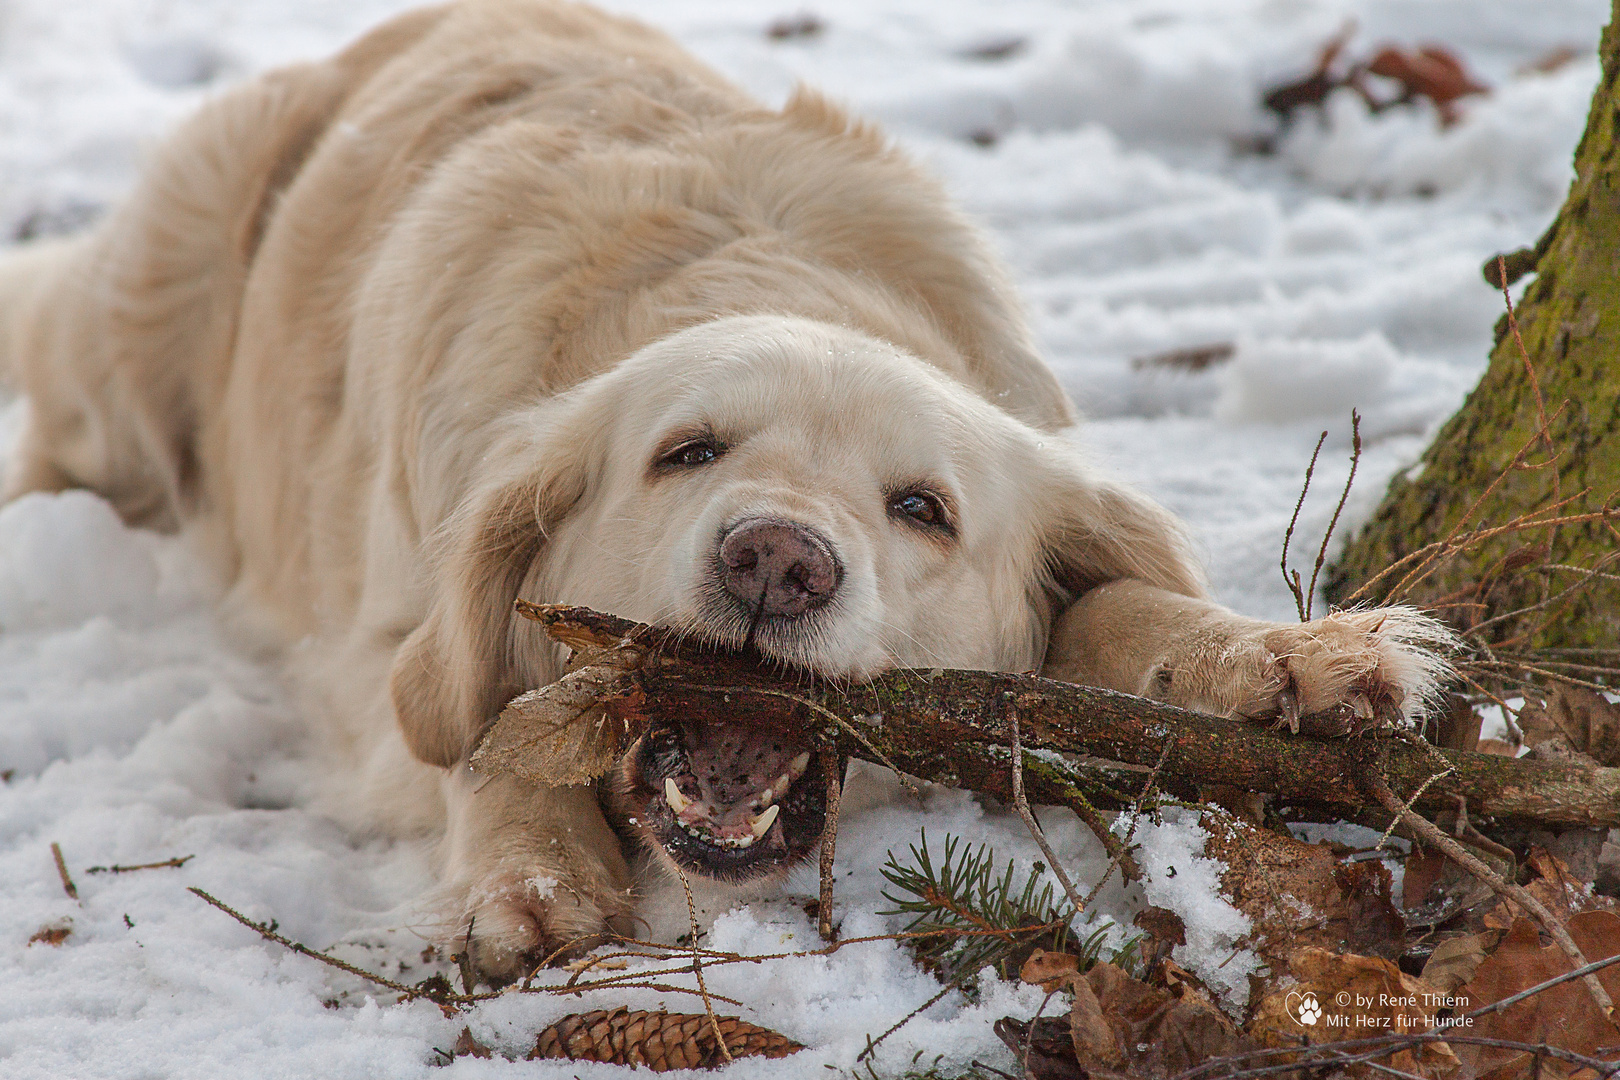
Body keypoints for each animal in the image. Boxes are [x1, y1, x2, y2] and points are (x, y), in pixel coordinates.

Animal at [0, 0, 1451, 977]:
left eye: (922, 509)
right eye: (686, 452)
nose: (777, 561)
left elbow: (1125, 614)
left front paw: (1293, 662)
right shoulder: (377, 643)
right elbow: (477, 718)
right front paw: (530, 870)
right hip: (133, 346)